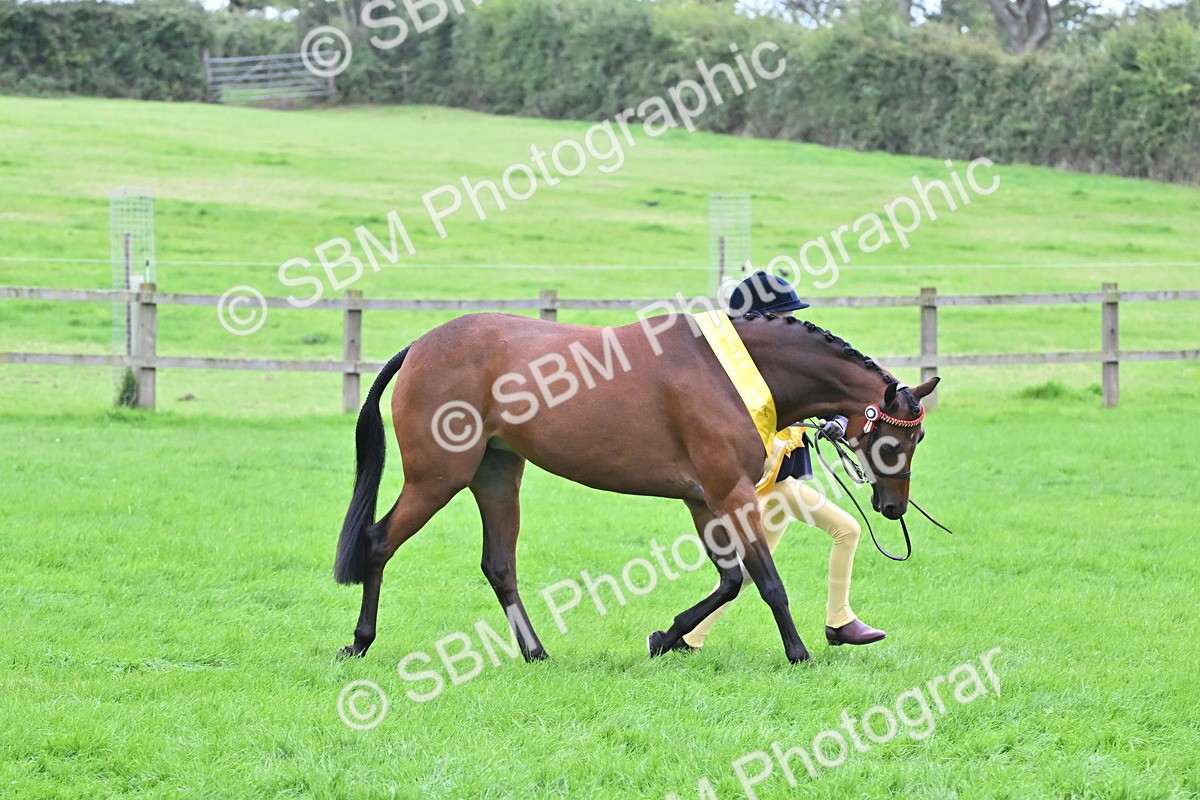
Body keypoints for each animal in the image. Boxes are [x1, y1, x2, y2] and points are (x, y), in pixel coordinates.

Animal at [333, 307, 939, 664]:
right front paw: (798, 653)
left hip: (497, 475)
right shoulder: (730, 494)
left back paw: (535, 652)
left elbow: (730, 581)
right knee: (378, 543)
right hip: (437, 479)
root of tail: (420, 345)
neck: (730, 373)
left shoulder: (704, 500)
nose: (893, 506)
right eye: (899, 441)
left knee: (499, 566)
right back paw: (359, 642)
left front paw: (667, 637)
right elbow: (766, 581)